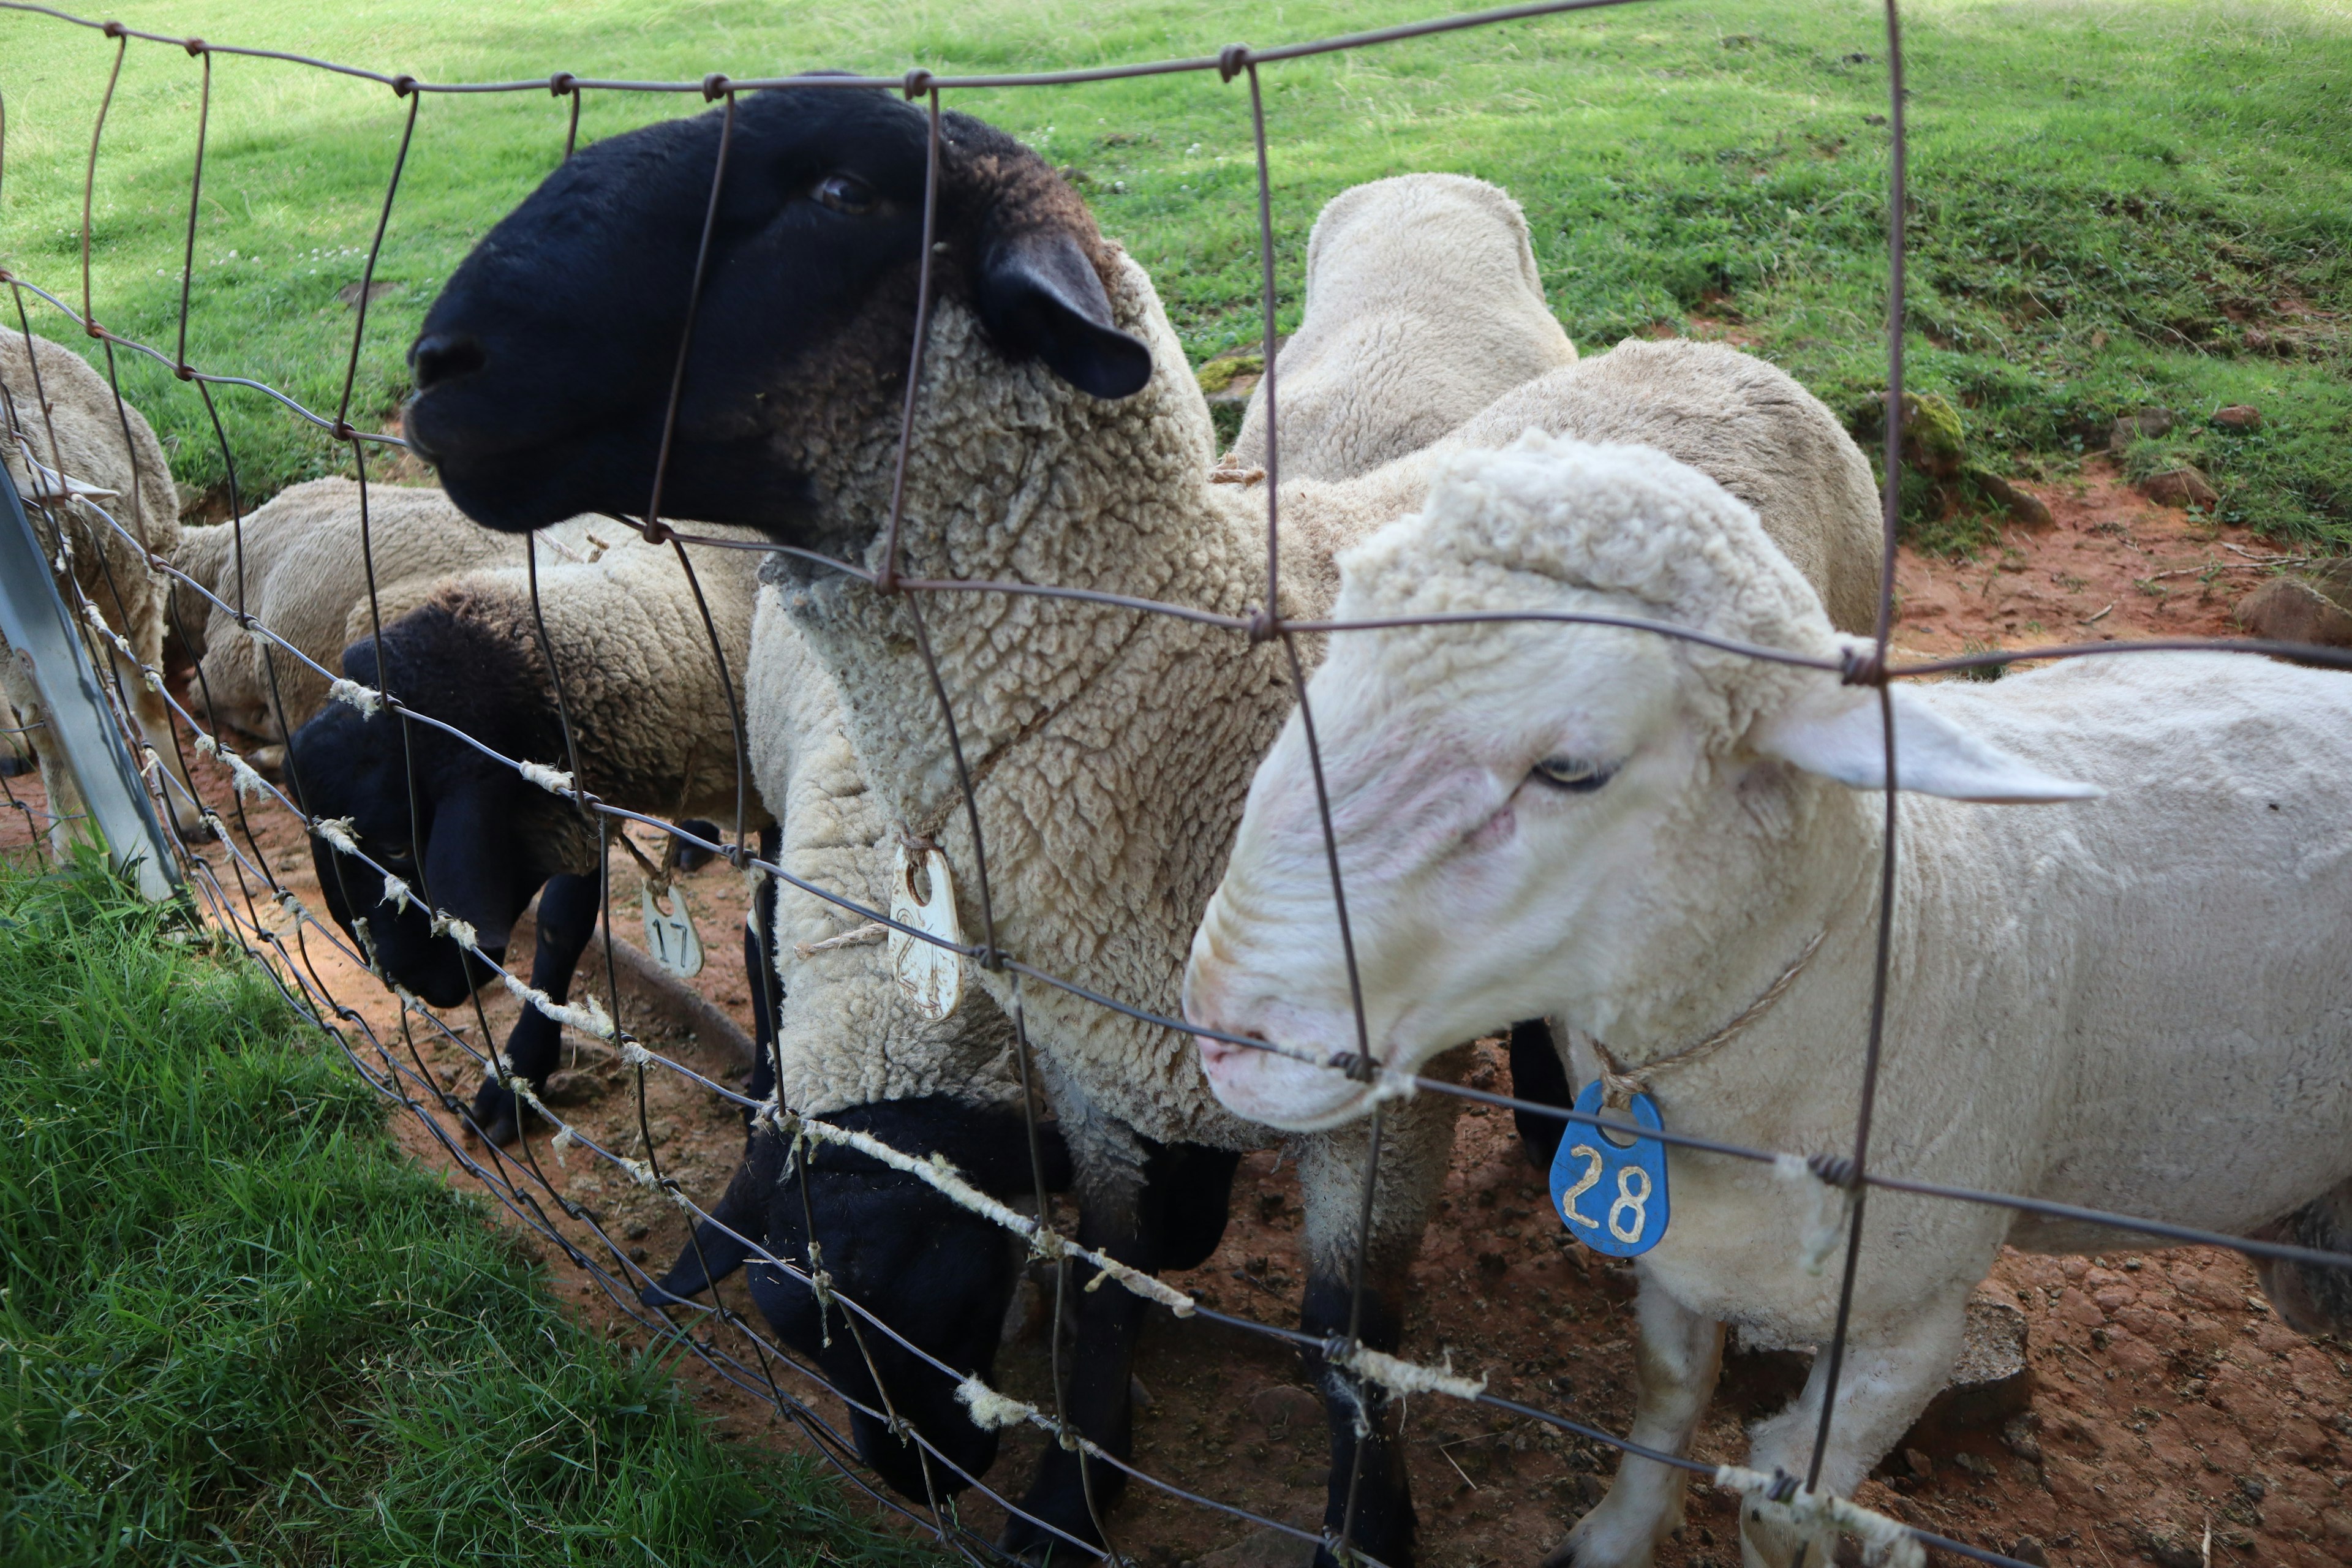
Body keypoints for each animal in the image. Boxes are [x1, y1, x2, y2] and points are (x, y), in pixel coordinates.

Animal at [2, 331, 202, 846]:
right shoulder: (14, 654)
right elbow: (51, 736)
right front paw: (73, 844)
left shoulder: (140, 600)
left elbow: (149, 702)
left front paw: (187, 812)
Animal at [1185, 435, 2352, 1568]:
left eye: (1570, 769)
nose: (1218, 1029)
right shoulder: (1681, 1255)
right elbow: (1665, 1396)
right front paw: (1614, 1538)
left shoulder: (1910, 1325)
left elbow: (1783, 1501)